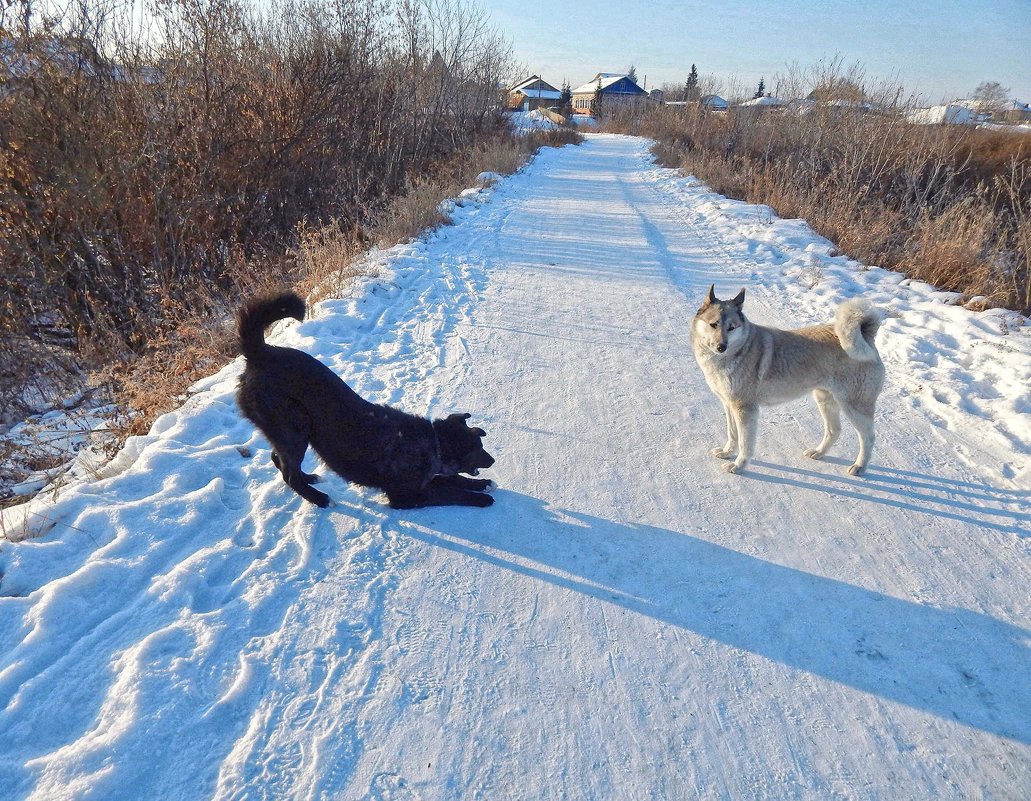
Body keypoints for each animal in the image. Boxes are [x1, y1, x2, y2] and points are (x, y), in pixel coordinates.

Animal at [236, 292, 492, 507]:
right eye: (478, 449)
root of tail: (259, 354)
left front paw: (480, 484)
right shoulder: (406, 495)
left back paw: (310, 479)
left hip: (288, 433)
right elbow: (451, 492)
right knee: (289, 475)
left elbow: (455, 480)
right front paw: (480, 498)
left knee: (279, 460)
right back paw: (319, 498)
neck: (433, 441)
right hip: (294, 429)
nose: (493, 461)